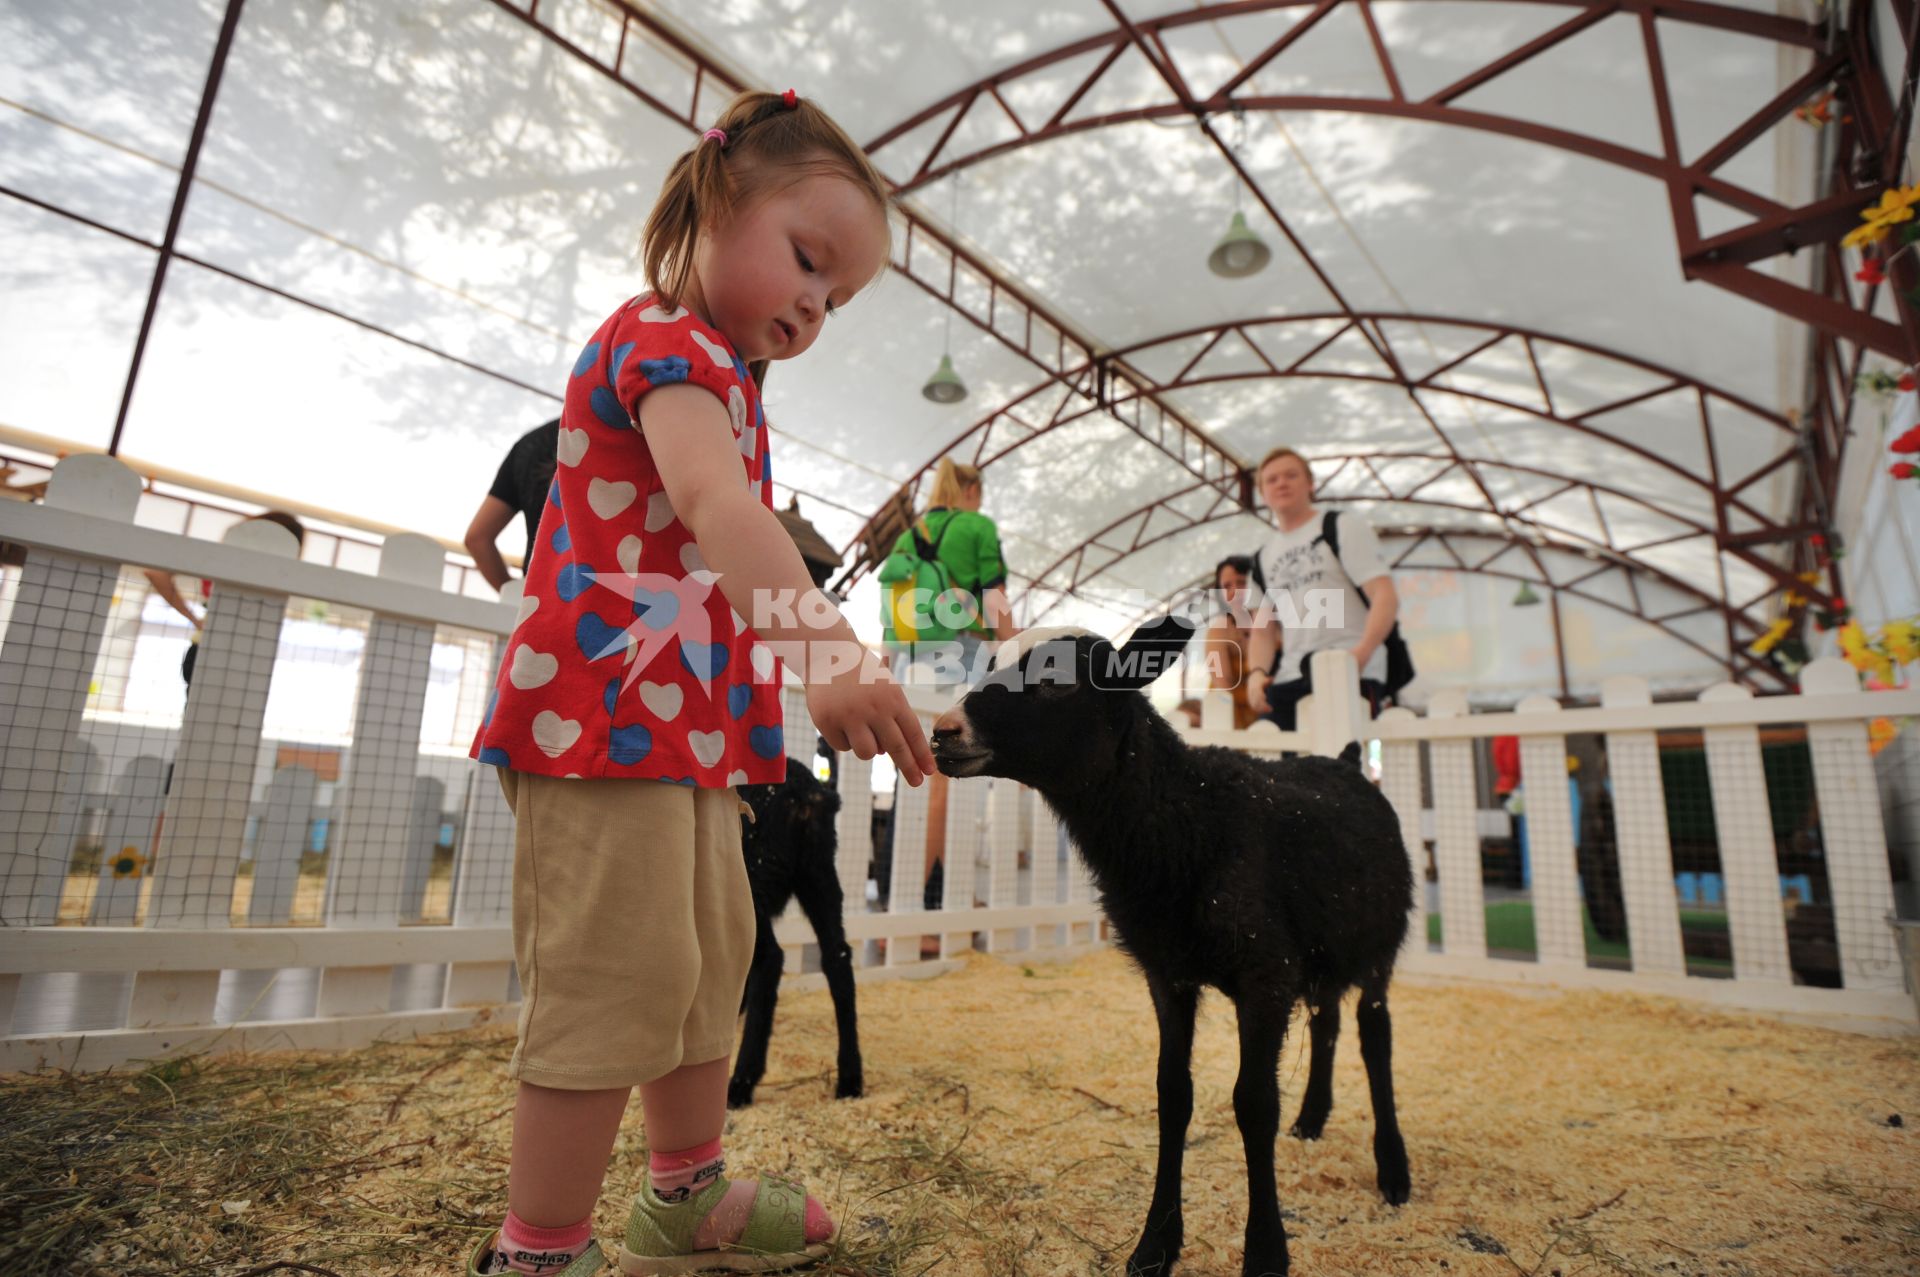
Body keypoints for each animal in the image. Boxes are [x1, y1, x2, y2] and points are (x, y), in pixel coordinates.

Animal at [725, 756, 864, 1106]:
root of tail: (804, 792)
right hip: (819, 871)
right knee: (837, 957)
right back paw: (850, 1079)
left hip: (753, 875)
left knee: (770, 958)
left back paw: (742, 1081)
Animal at [929, 614, 1413, 1267]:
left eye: (1057, 681)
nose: (942, 732)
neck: (1189, 816)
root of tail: (1346, 759)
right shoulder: (1170, 974)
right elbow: (1172, 1095)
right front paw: (1156, 1242)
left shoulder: (1264, 974)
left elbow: (1253, 1104)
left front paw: (1265, 1251)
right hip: (1319, 949)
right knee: (1328, 1022)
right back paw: (1312, 1120)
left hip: (1379, 942)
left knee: (1374, 1035)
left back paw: (1393, 1169)